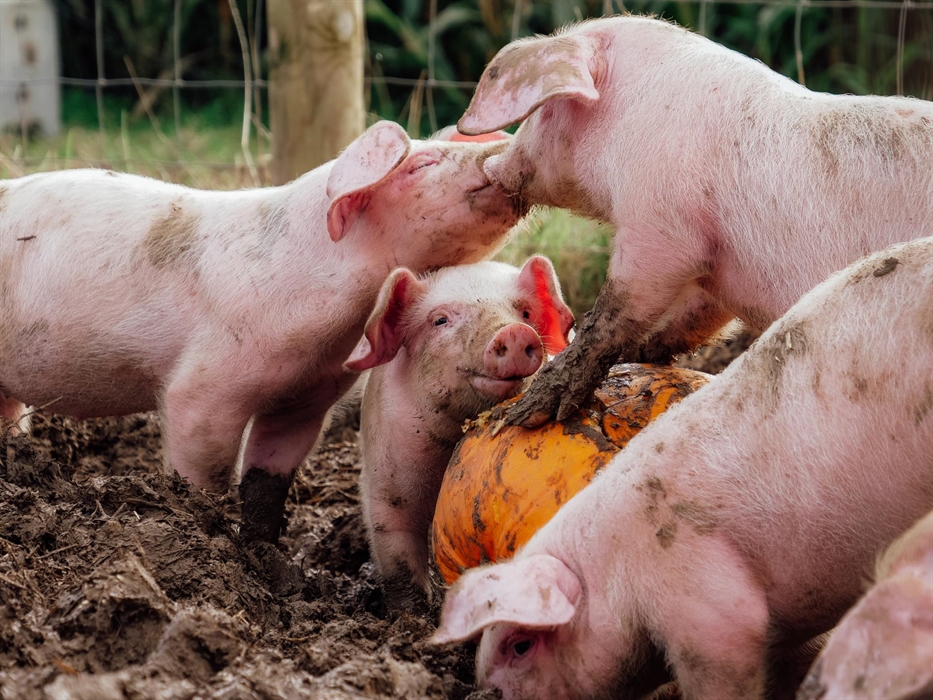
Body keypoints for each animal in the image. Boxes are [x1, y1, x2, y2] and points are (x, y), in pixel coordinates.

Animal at [0, 120, 522, 544]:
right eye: (422, 164)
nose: (507, 143)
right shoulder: (204, 389)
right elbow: (204, 473)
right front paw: (207, 532)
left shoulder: (308, 397)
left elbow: (268, 481)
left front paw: (266, 554)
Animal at [346, 257, 574, 607]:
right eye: (440, 320)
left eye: (524, 313)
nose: (514, 331)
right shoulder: (387, 481)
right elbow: (398, 553)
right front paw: (413, 612)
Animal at [457, 15, 933, 426]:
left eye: (544, 110)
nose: (491, 167)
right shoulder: (717, 264)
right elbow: (693, 315)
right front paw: (640, 355)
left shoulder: (661, 227)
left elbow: (614, 313)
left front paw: (527, 415)